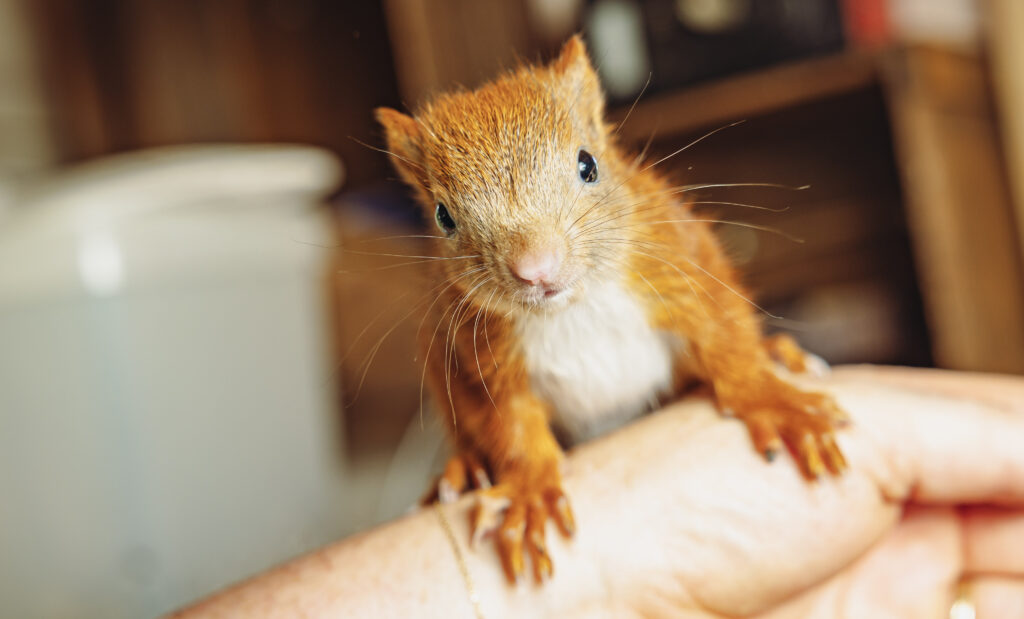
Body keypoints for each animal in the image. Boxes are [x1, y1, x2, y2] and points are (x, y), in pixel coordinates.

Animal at [376, 35, 847, 586]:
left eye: (588, 165)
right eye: (442, 216)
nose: (535, 267)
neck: (573, 309)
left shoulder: (678, 260)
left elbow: (724, 336)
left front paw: (773, 401)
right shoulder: (476, 353)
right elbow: (510, 425)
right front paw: (530, 492)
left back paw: (782, 354)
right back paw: (461, 471)